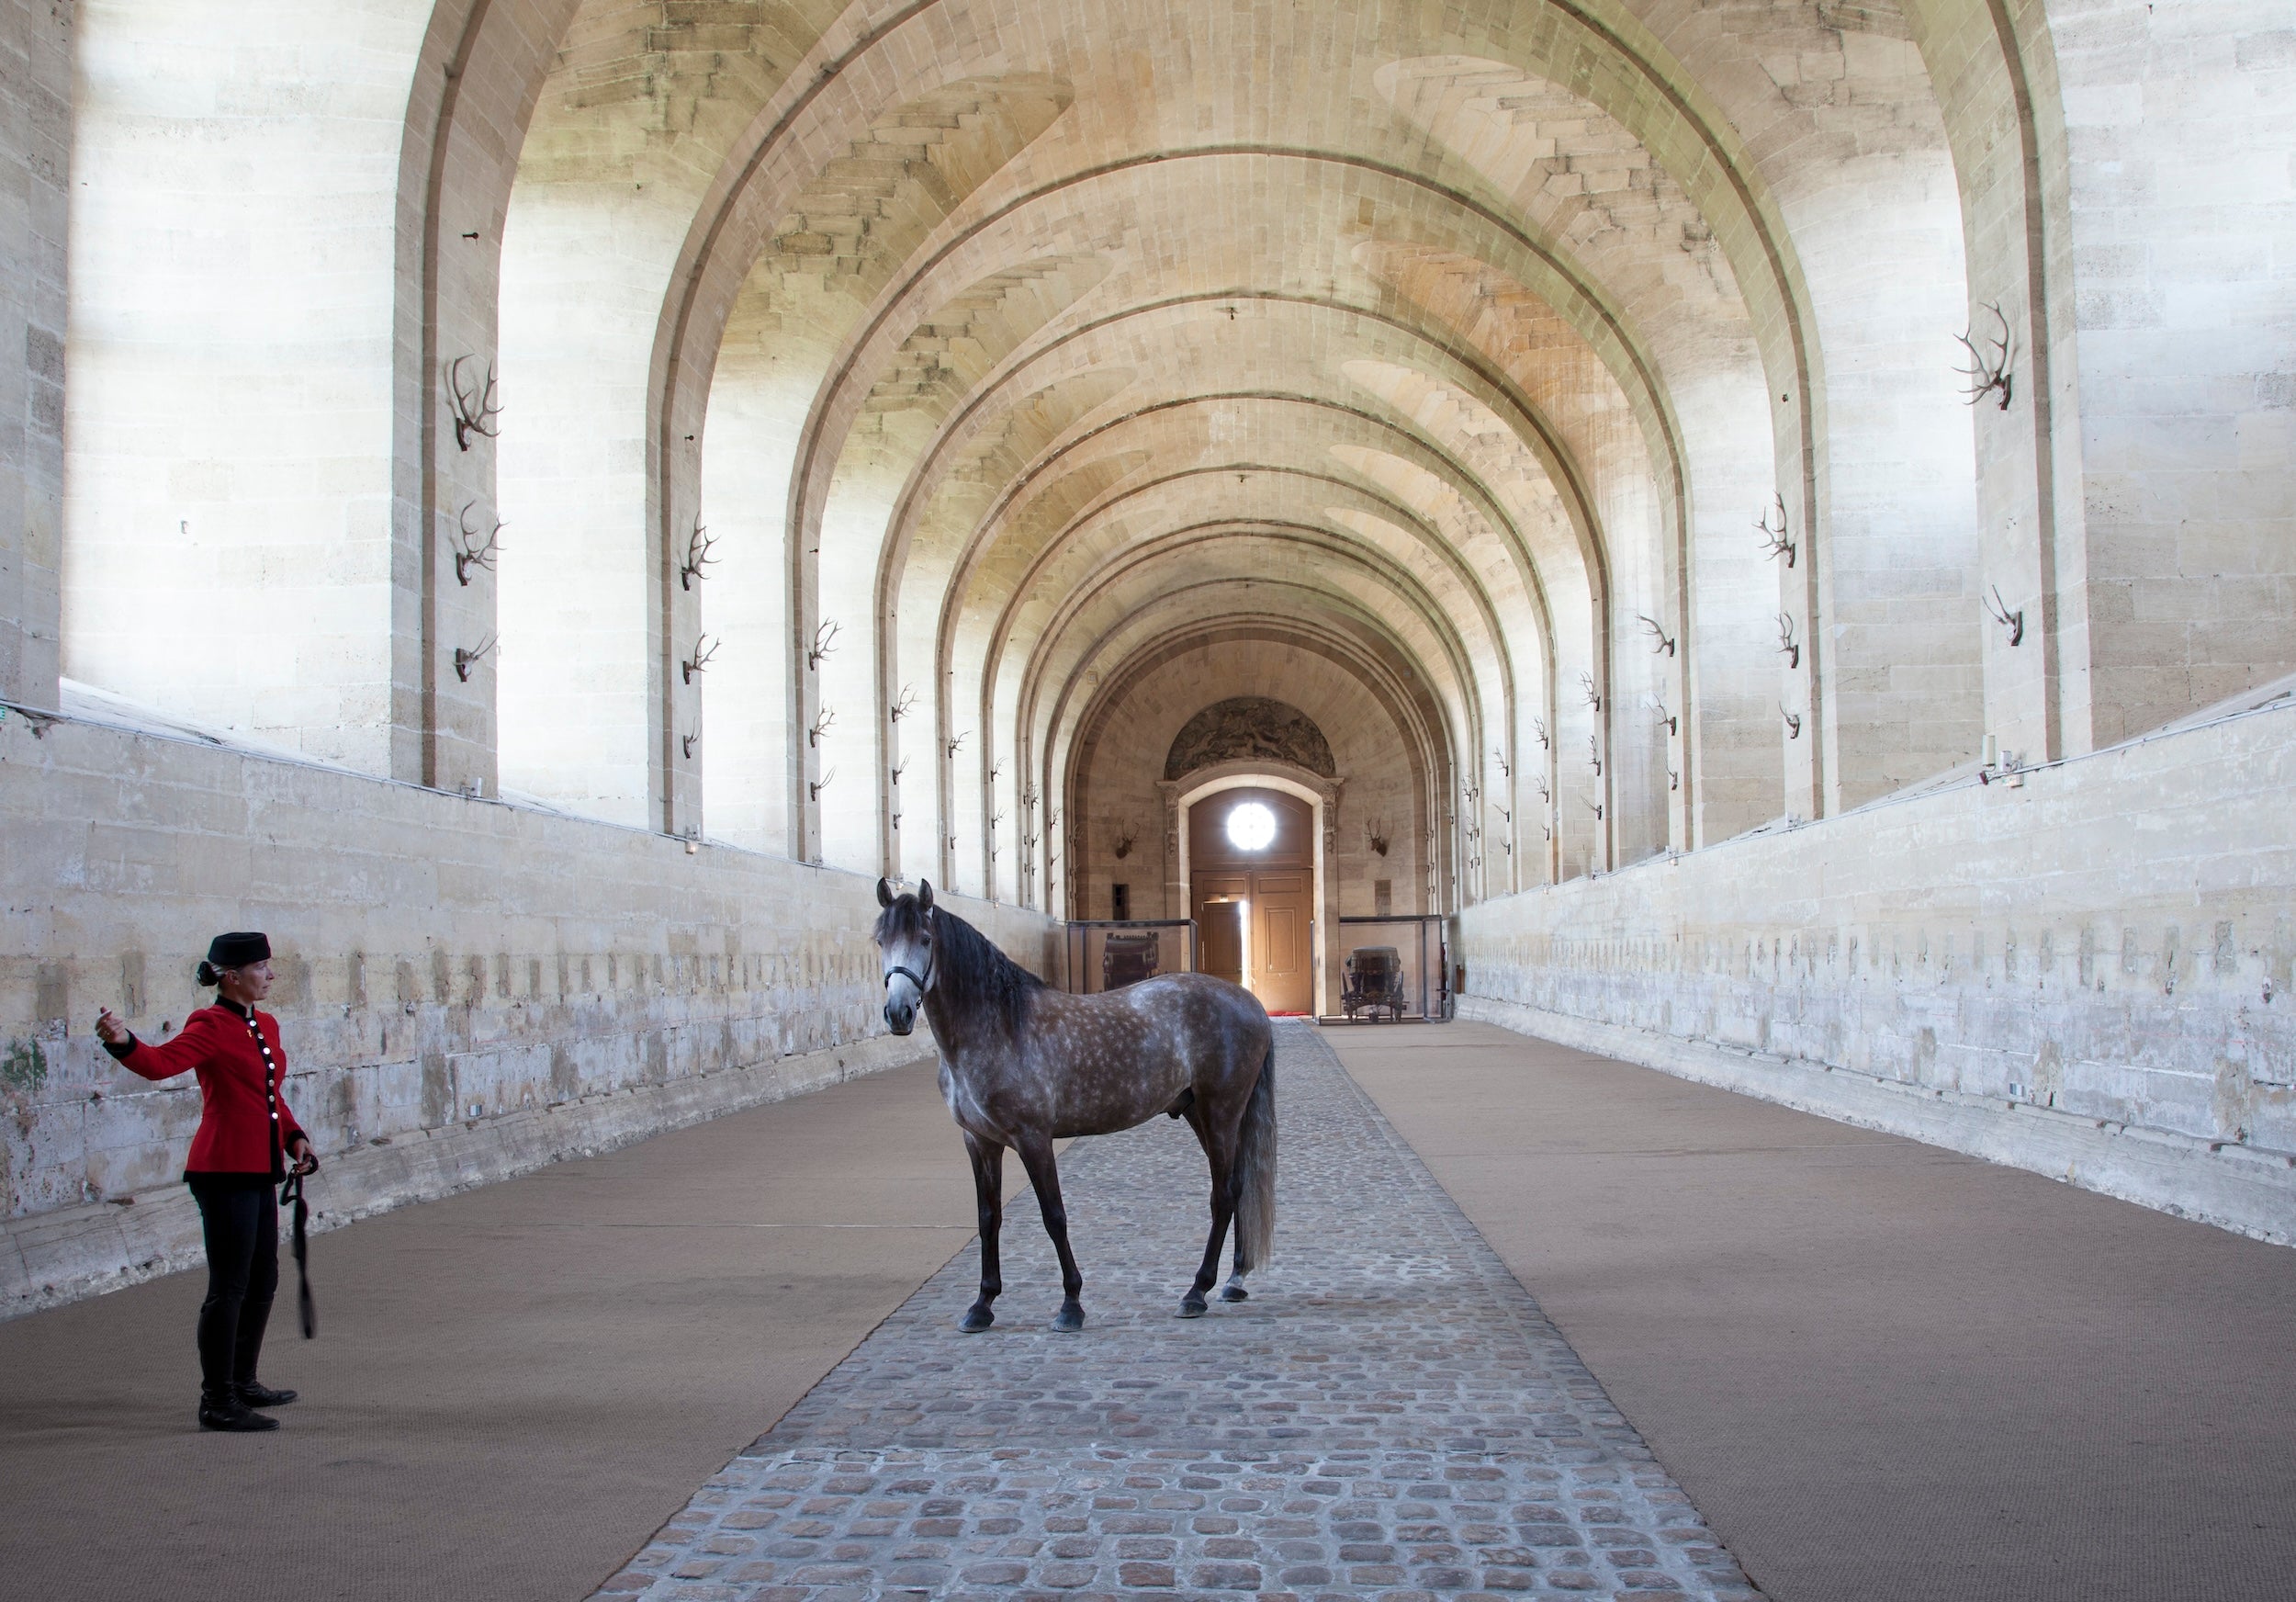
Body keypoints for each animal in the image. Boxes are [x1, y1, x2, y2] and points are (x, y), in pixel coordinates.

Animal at [873, 878, 1276, 1332]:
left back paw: (1197, 1292)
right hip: (1199, 1114)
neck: (1000, 1025)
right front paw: (982, 1305)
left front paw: (1071, 1304)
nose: (898, 1014)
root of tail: (1249, 1004)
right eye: (881, 940)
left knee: (1223, 1195)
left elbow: (1054, 1216)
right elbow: (988, 1218)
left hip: (1220, 1112)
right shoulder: (980, 1142)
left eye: (925, 939)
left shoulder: (1033, 1139)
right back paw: (1234, 1280)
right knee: (1237, 1187)